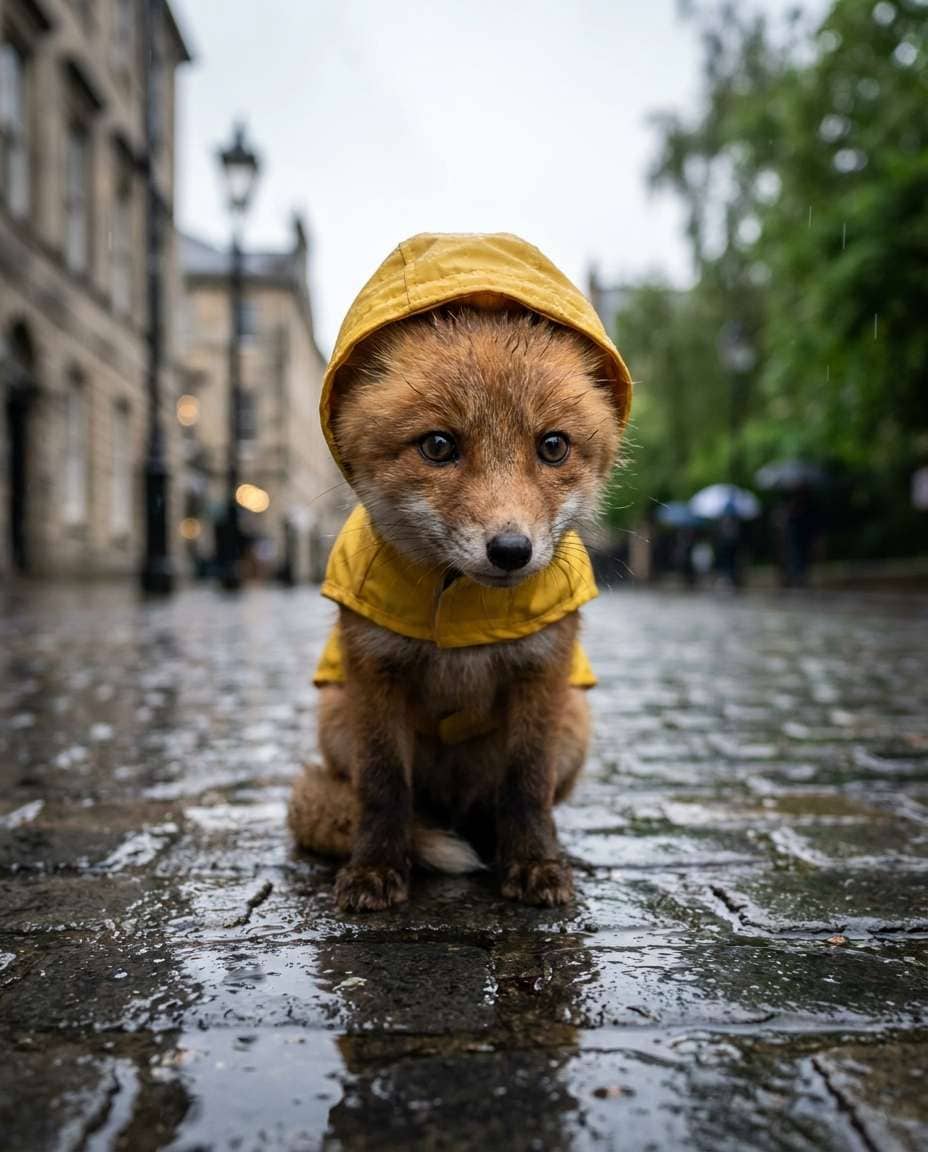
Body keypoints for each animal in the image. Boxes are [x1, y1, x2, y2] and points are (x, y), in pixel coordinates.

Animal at [288, 234, 631, 912]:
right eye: (439, 446)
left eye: (553, 446)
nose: (511, 550)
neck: (463, 617)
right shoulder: (374, 674)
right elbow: (383, 790)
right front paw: (375, 869)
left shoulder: (541, 675)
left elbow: (526, 788)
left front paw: (534, 864)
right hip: (335, 719)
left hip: (575, 726)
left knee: (500, 807)